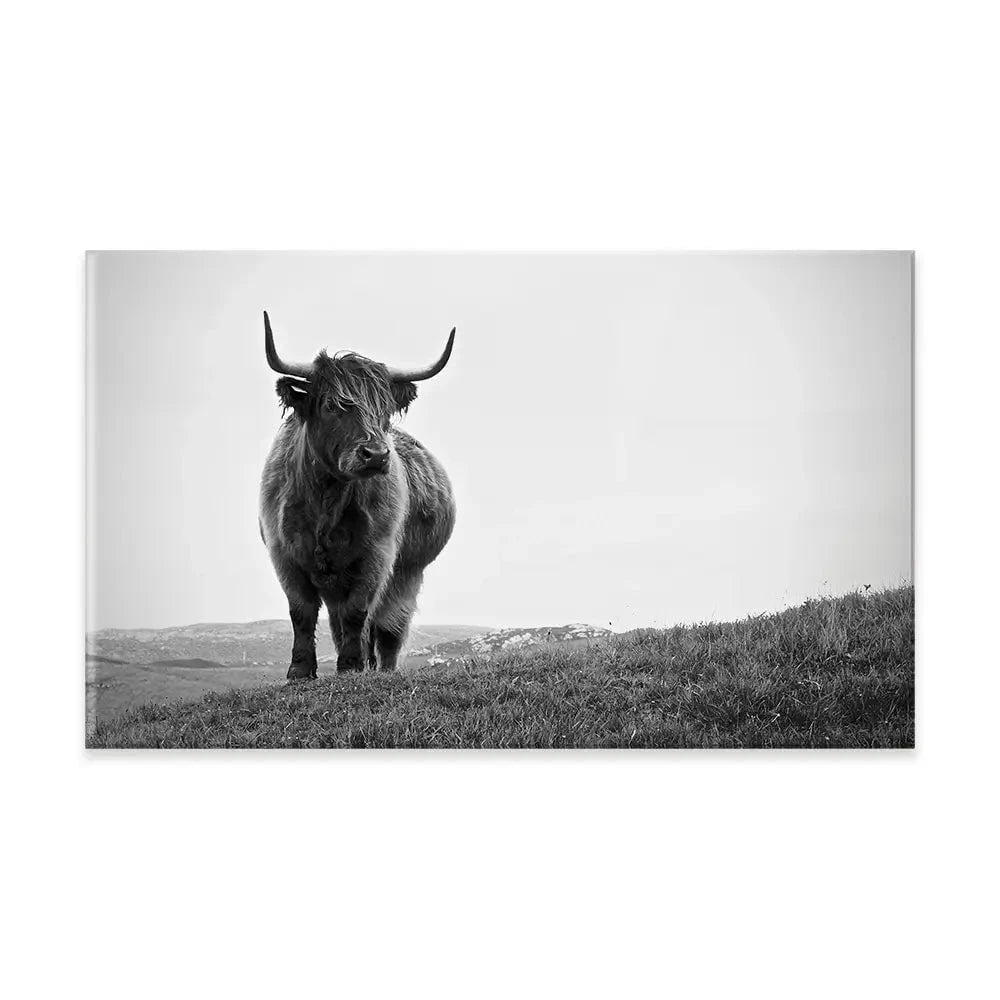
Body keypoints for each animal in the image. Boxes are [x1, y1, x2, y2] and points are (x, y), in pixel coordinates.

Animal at [258, 312, 457, 679]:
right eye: (332, 405)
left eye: (384, 410)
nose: (376, 455)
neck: (326, 499)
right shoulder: (284, 555)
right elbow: (301, 612)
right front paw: (300, 671)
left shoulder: (376, 555)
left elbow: (357, 612)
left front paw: (351, 667)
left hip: (408, 574)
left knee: (388, 628)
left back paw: (380, 668)